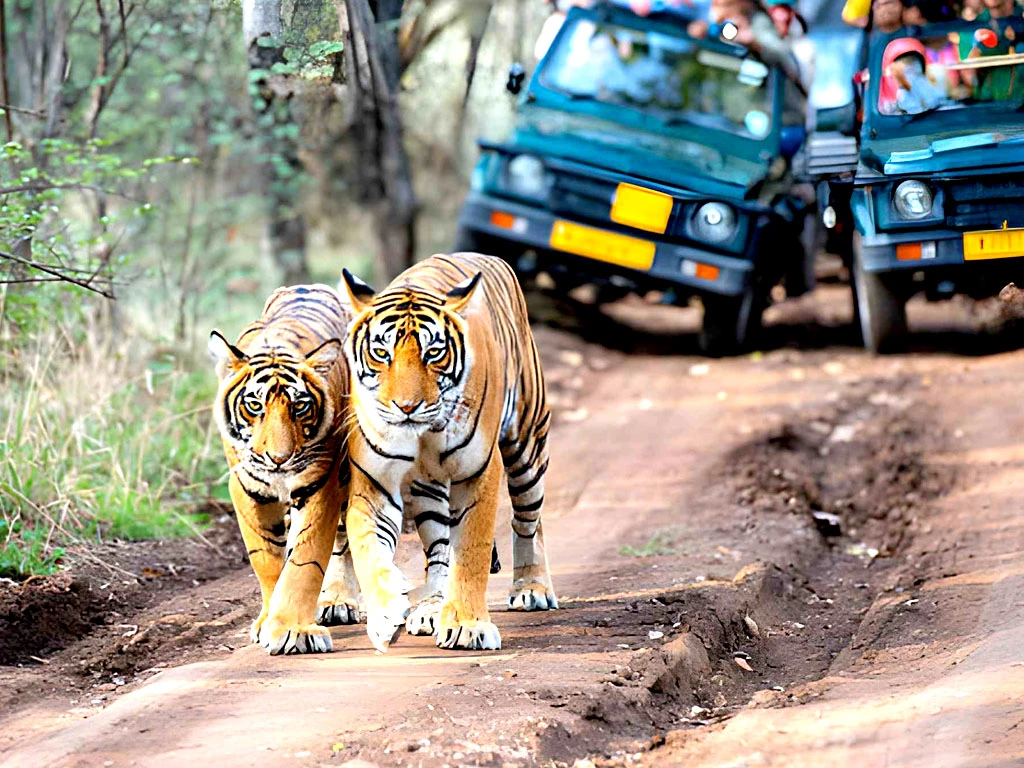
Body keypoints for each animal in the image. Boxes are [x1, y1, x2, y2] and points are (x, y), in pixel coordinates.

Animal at [209, 284, 359, 655]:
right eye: (254, 404)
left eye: (300, 406)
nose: (278, 458)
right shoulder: (246, 488)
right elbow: (266, 558)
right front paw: (268, 622)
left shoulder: (322, 483)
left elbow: (305, 560)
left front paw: (294, 630)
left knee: (341, 538)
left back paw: (338, 600)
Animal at [336, 252, 558, 652]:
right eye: (381, 352)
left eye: (433, 353)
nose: (406, 407)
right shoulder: (374, 483)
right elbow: (368, 549)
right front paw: (387, 613)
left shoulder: (478, 473)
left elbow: (470, 551)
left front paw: (467, 626)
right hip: (428, 490)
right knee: (439, 549)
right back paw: (430, 609)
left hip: (527, 444)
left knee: (528, 519)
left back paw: (532, 588)